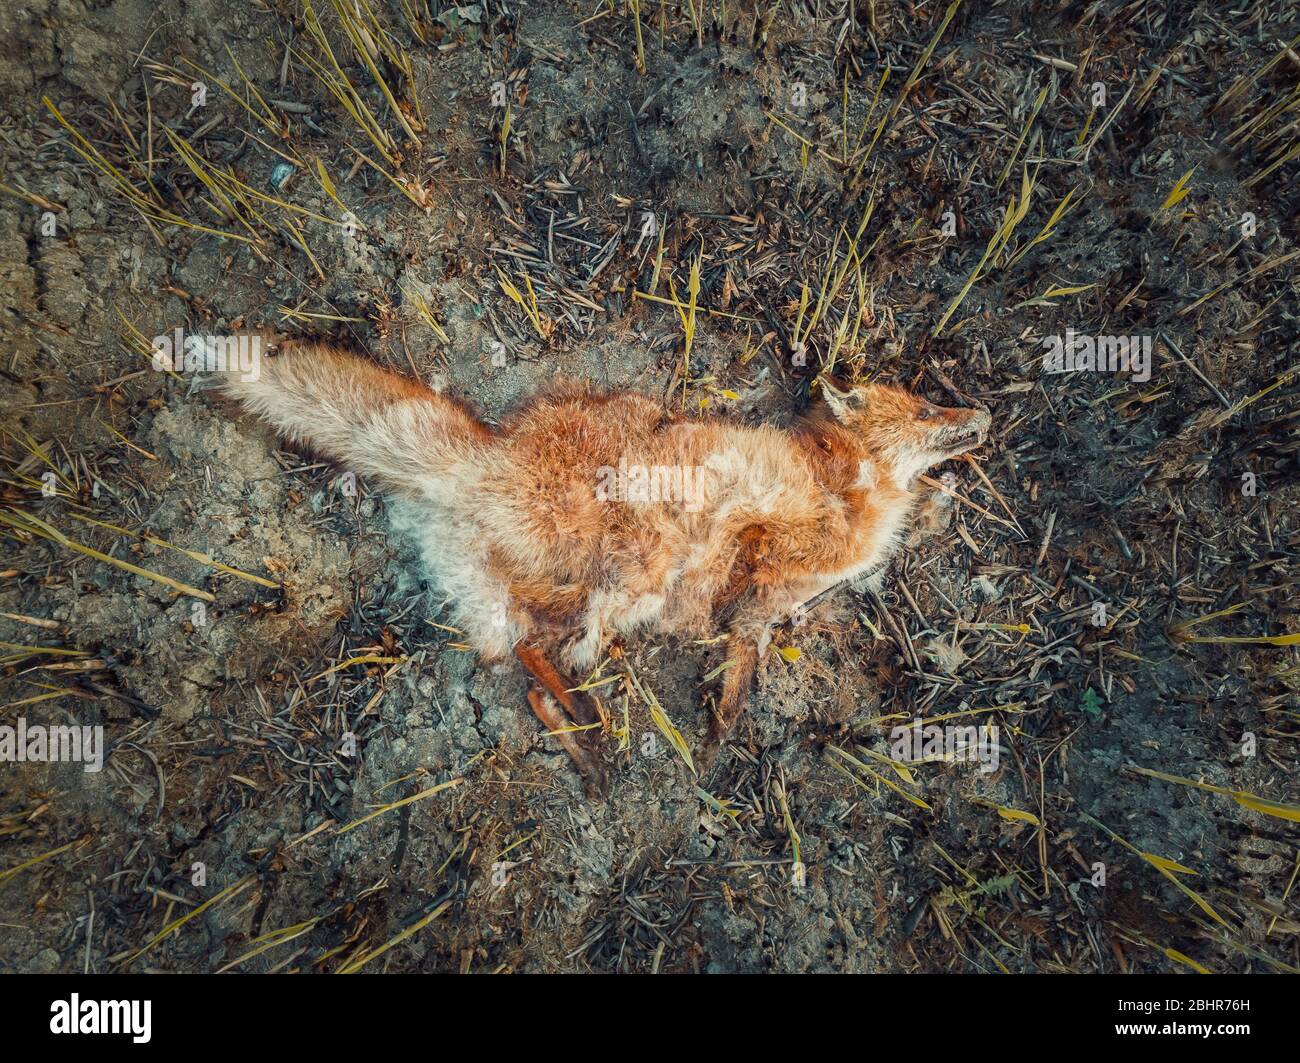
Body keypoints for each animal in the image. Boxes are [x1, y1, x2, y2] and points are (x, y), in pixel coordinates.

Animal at [220, 340, 990, 796]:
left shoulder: (764, 605)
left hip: (546, 595)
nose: (981, 413)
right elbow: (740, 594)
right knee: (549, 653)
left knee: (527, 665)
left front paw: (720, 733)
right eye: (928, 409)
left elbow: (740, 671)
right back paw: (591, 734)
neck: (850, 489)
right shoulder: (758, 530)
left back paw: (581, 741)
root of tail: (488, 457)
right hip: (630, 574)